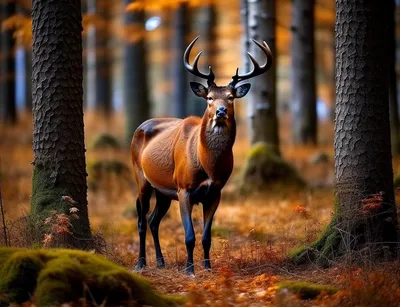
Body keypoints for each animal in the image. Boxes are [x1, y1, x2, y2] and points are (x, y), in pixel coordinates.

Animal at [130, 36, 272, 276]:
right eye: (210, 98)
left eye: (231, 97)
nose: (221, 111)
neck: (208, 164)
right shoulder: (184, 188)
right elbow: (189, 235)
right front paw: (189, 269)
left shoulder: (215, 191)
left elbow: (206, 237)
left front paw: (207, 267)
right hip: (141, 176)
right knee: (141, 220)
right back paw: (140, 263)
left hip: (163, 190)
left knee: (153, 220)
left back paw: (160, 261)